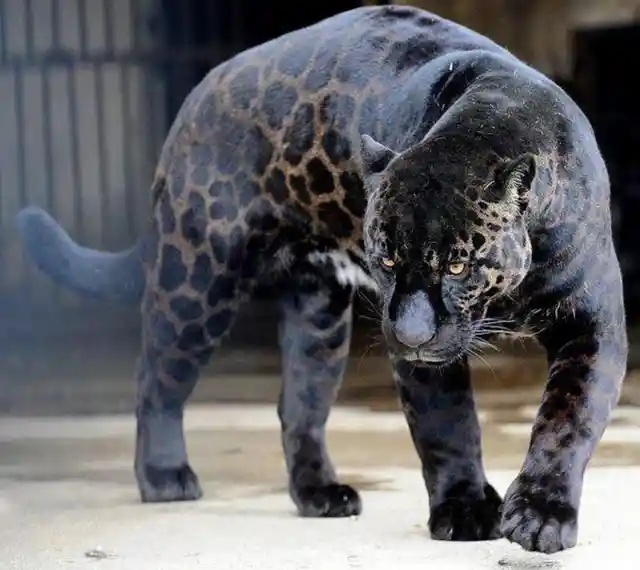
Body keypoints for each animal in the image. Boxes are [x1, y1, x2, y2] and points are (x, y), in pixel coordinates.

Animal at [15, 5, 627, 554]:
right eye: (385, 260)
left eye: (457, 265)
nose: (409, 334)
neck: (492, 118)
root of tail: (196, 98)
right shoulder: (425, 359)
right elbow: (447, 424)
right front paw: (465, 509)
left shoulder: (591, 323)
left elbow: (567, 419)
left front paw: (542, 516)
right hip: (197, 280)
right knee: (157, 379)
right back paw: (165, 476)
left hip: (319, 319)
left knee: (299, 406)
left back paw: (319, 494)